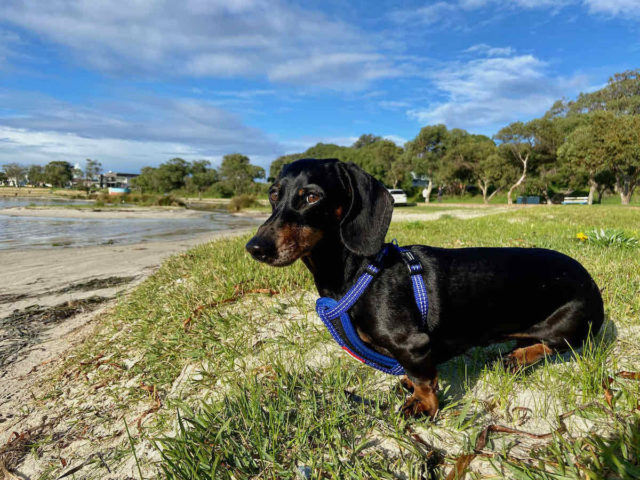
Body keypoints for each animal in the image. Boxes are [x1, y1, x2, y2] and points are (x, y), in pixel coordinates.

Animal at [245, 159, 604, 418]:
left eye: (312, 197)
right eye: (273, 194)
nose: (255, 248)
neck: (361, 271)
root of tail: (590, 281)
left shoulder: (413, 344)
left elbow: (423, 378)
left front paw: (423, 405)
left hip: (568, 325)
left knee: (554, 345)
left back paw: (517, 357)